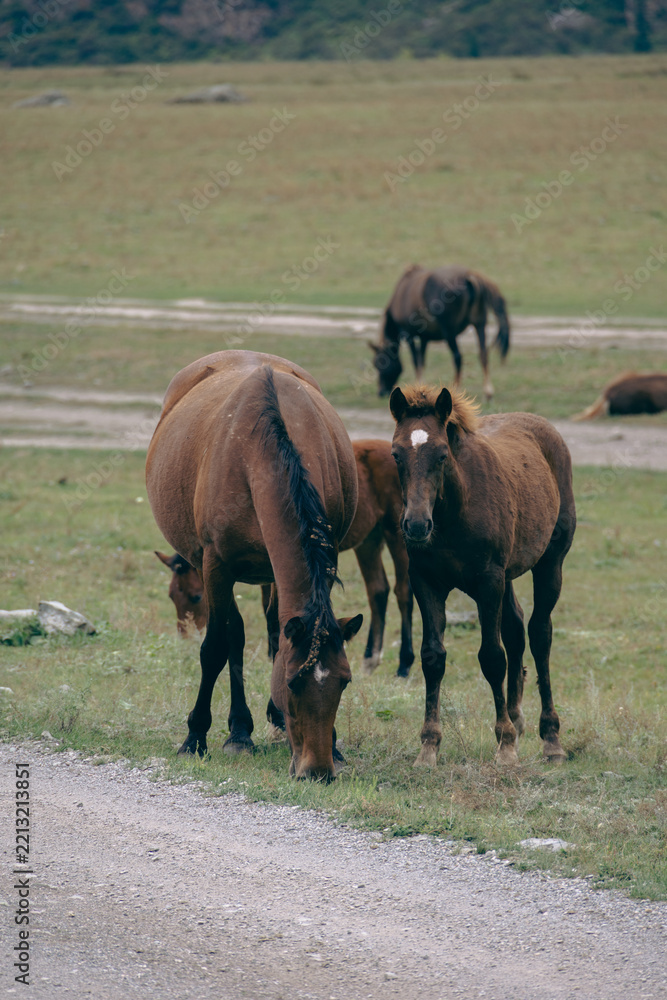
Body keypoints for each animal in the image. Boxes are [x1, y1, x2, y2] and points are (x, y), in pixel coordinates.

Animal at [146, 350, 363, 781]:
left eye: (345, 682)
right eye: (292, 683)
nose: (317, 771)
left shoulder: (322, 562)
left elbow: (276, 636)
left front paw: (332, 744)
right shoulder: (215, 566)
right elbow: (216, 647)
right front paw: (196, 738)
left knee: (270, 629)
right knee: (235, 635)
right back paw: (239, 731)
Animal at [156, 439, 414, 678]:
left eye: (196, 597)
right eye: (171, 596)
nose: (185, 636)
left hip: (396, 534)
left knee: (402, 591)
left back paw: (404, 665)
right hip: (369, 539)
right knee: (377, 590)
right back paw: (370, 660)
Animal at [370, 265, 510, 400]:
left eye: (379, 364)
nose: (381, 392)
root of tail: (469, 275)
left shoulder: (408, 334)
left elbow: (415, 360)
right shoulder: (424, 337)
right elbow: (422, 361)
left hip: (450, 332)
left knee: (458, 357)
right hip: (479, 324)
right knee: (483, 354)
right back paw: (488, 391)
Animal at [389, 383, 576, 766]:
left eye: (442, 455)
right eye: (396, 454)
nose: (416, 525)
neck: (452, 513)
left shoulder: (488, 581)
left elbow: (492, 657)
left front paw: (504, 745)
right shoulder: (426, 581)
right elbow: (433, 657)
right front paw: (428, 746)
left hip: (550, 562)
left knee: (540, 634)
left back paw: (551, 738)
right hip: (509, 573)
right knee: (516, 628)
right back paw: (518, 719)